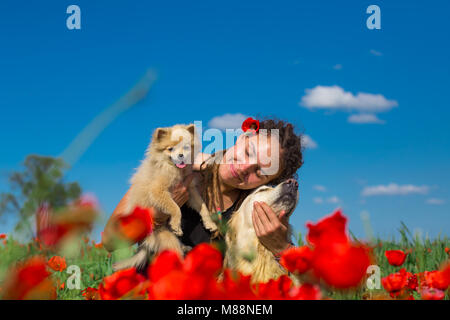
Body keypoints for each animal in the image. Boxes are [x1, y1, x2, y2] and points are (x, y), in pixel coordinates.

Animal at [113, 124, 217, 272]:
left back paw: (185, 247)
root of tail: (144, 244)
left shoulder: (190, 191)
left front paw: (210, 223)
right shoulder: (158, 191)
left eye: (186, 147)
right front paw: (176, 223)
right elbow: (174, 207)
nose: (181, 156)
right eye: (170, 149)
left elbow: (203, 207)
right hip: (167, 239)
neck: (174, 169)